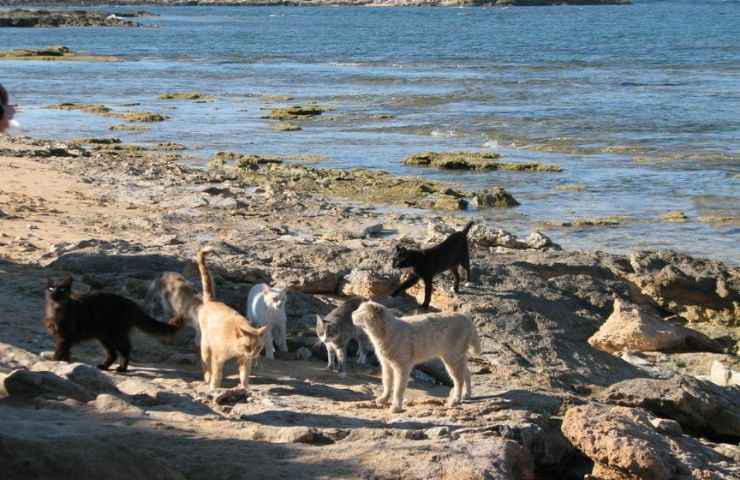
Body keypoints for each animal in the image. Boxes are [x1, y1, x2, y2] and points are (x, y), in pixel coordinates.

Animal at [42, 276, 185, 374]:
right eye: (51, 288)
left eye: (62, 289)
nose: (54, 293)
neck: (56, 310)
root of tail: (130, 302)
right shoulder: (60, 336)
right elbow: (65, 352)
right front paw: (64, 362)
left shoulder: (65, 336)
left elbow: (60, 350)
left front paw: (55, 361)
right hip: (104, 336)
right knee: (113, 353)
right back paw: (104, 366)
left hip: (116, 334)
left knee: (125, 349)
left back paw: (122, 368)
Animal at [195, 248, 268, 390]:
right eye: (247, 346)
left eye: (258, 347)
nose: (253, 355)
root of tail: (212, 301)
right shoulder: (218, 358)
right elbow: (217, 374)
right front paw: (214, 387)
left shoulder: (245, 360)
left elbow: (244, 375)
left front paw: (245, 388)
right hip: (205, 345)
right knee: (206, 364)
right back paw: (207, 378)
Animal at [352, 300, 480, 412]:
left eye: (361, 311)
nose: (352, 313)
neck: (383, 333)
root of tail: (466, 318)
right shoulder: (386, 364)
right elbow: (387, 382)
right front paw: (383, 399)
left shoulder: (402, 366)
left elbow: (398, 387)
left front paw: (396, 407)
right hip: (457, 355)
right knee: (466, 372)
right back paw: (466, 394)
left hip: (451, 356)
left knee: (459, 379)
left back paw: (455, 400)